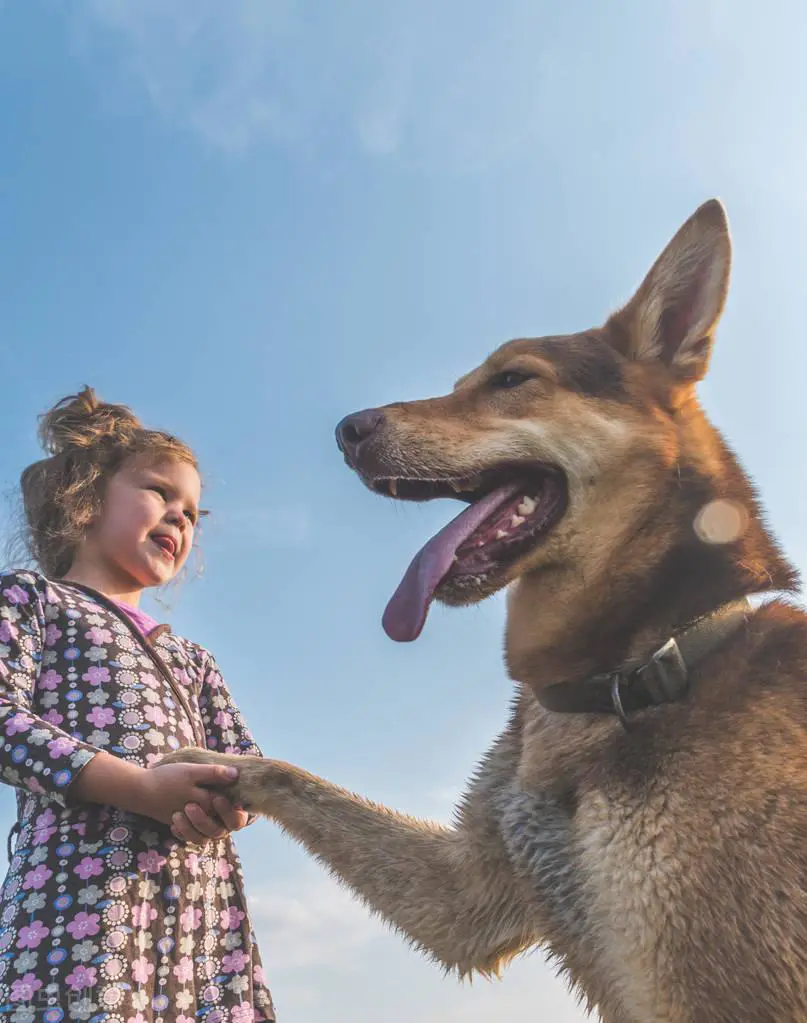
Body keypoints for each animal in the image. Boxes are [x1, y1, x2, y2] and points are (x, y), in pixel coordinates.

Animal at [163, 201, 805, 1023]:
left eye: (511, 379)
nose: (346, 430)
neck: (626, 671)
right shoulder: (469, 890)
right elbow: (291, 774)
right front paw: (202, 765)